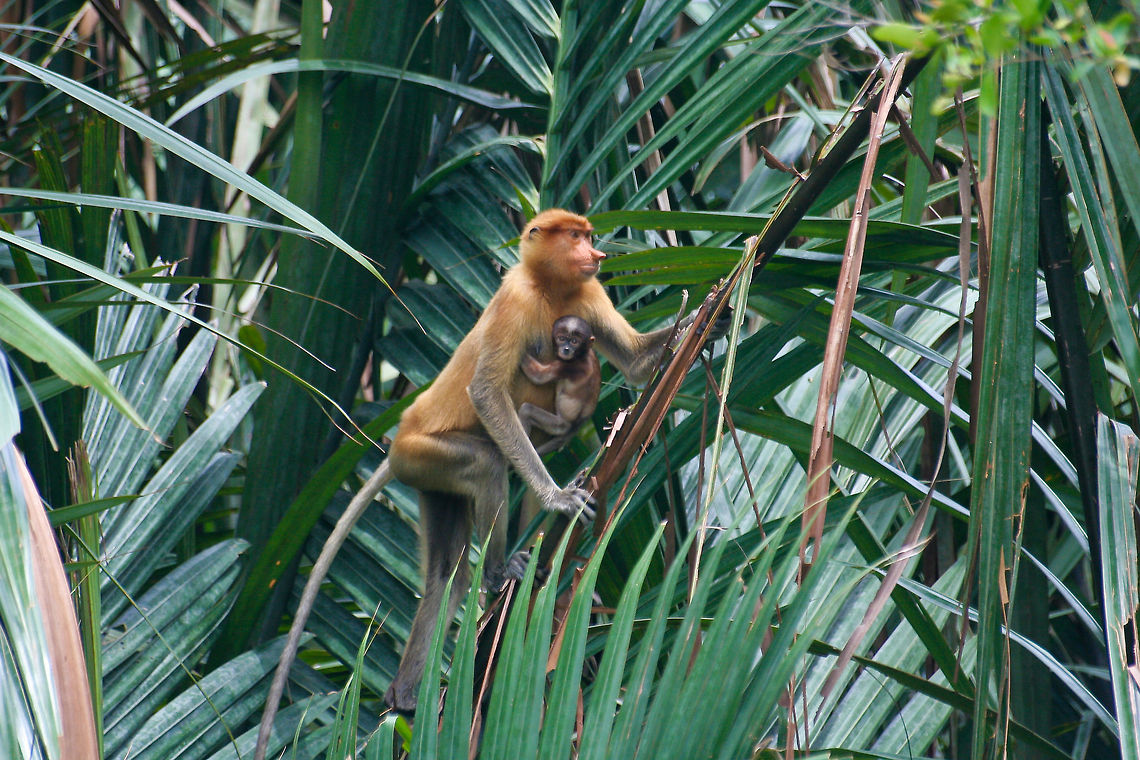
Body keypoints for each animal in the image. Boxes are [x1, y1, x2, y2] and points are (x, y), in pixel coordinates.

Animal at [518, 315, 601, 455]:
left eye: (574, 341)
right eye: (561, 339)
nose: (566, 349)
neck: (583, 355)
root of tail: (575, 426)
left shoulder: (569, 365)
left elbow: (539, 376)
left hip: (560, 425)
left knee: (527, 410)